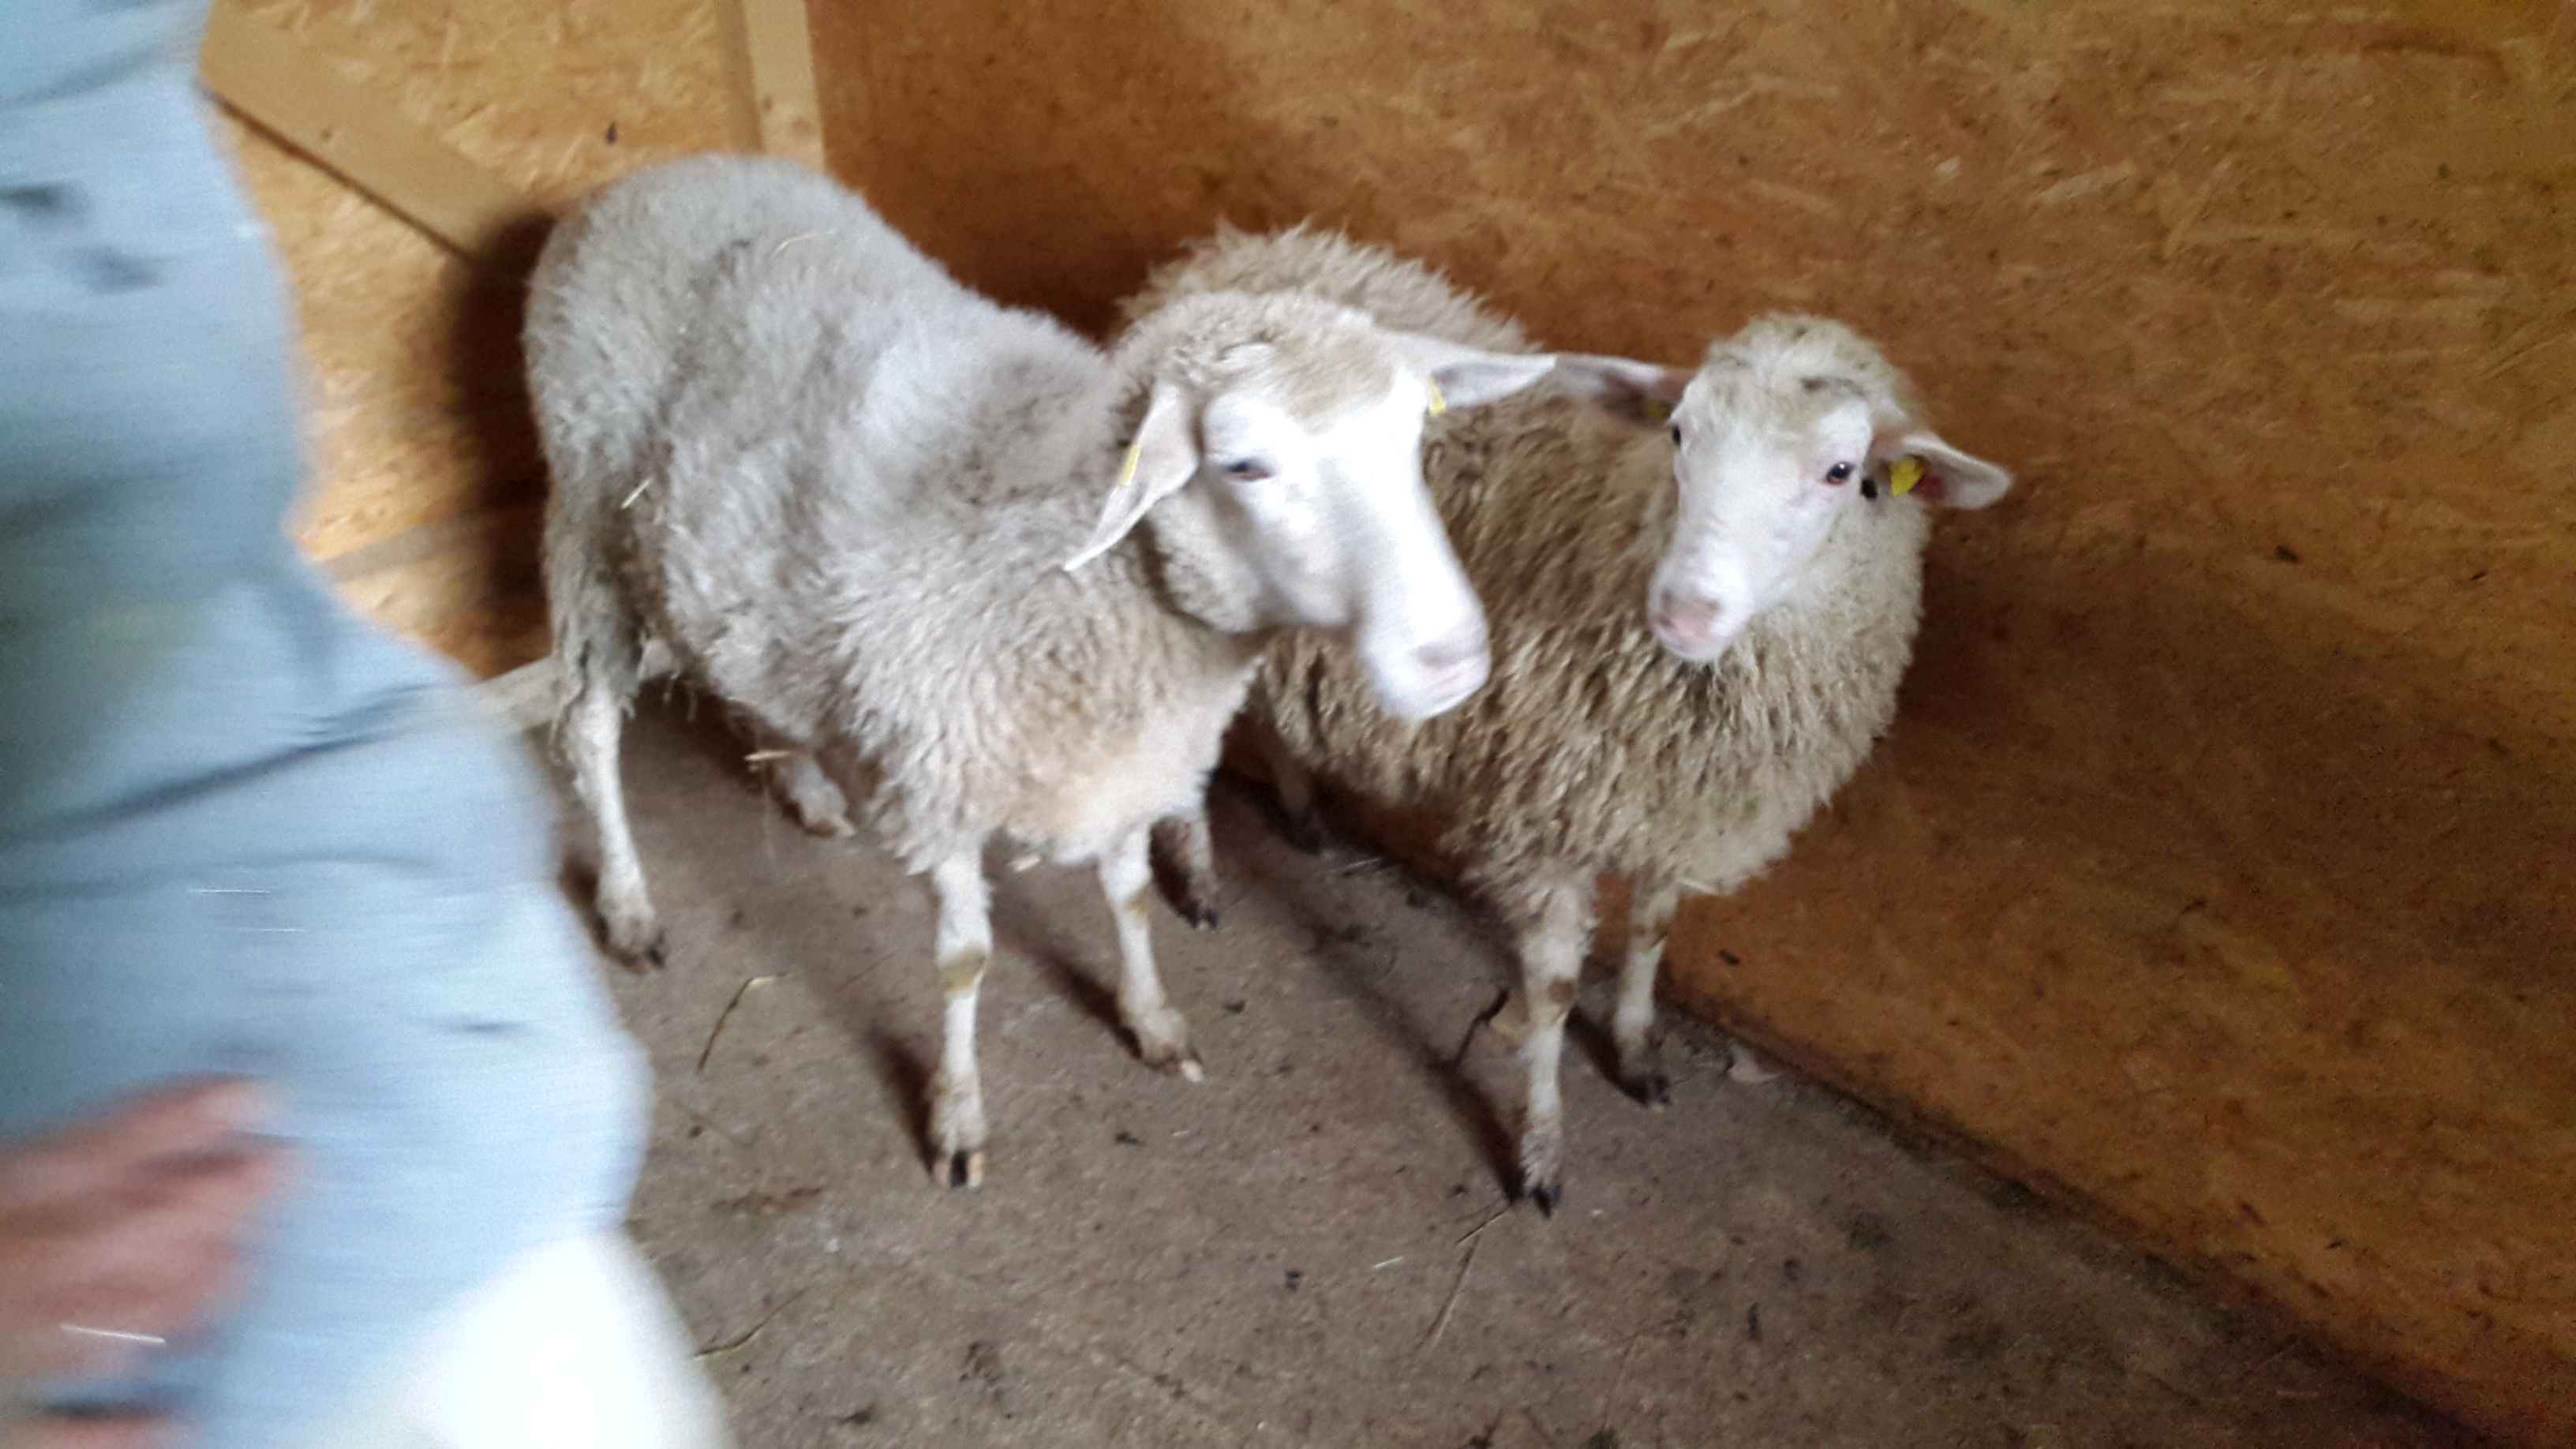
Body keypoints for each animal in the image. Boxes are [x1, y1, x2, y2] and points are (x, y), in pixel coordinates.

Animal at [524, 159, 1559, 1187]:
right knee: (589, 729)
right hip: (588, 520)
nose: (1454, 660)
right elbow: (964, 961)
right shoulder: (939, 784)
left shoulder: (1128, 761)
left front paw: (1151, 1019)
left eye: (1414, 435)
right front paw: (956, 1116)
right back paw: (628, 906)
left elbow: (1130, 897)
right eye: (1244, 465)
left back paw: (806, 788)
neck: (1073, 562)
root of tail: (649, 176)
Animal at [1124, 225, 2013, 1211]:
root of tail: (1224, 256)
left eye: (1842, 472)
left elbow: (1652, 937)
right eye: (1679, 432)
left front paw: (1635, 1052)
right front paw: (1540, 1150)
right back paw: (1199, 878)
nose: (1684, 611)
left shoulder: (1673, 809)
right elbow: (1548, 996)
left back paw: (1299, 810)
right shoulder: (1542, 821)